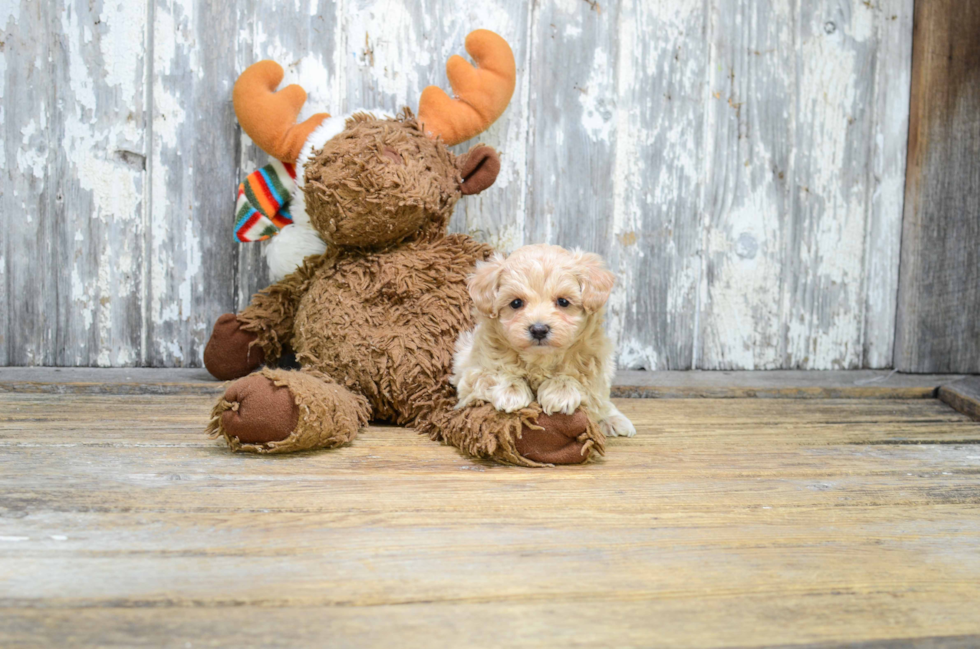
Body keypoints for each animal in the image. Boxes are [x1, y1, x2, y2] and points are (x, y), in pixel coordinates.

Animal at [452, 246, 636, 438]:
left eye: (563, 301)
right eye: (516, 303)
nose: (538, 329)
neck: (540, 359)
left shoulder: (594, 363)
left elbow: (581, 381)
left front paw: (561, 391)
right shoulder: (472, 371)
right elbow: (494, 373)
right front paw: (511, 392)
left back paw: (612, 419)